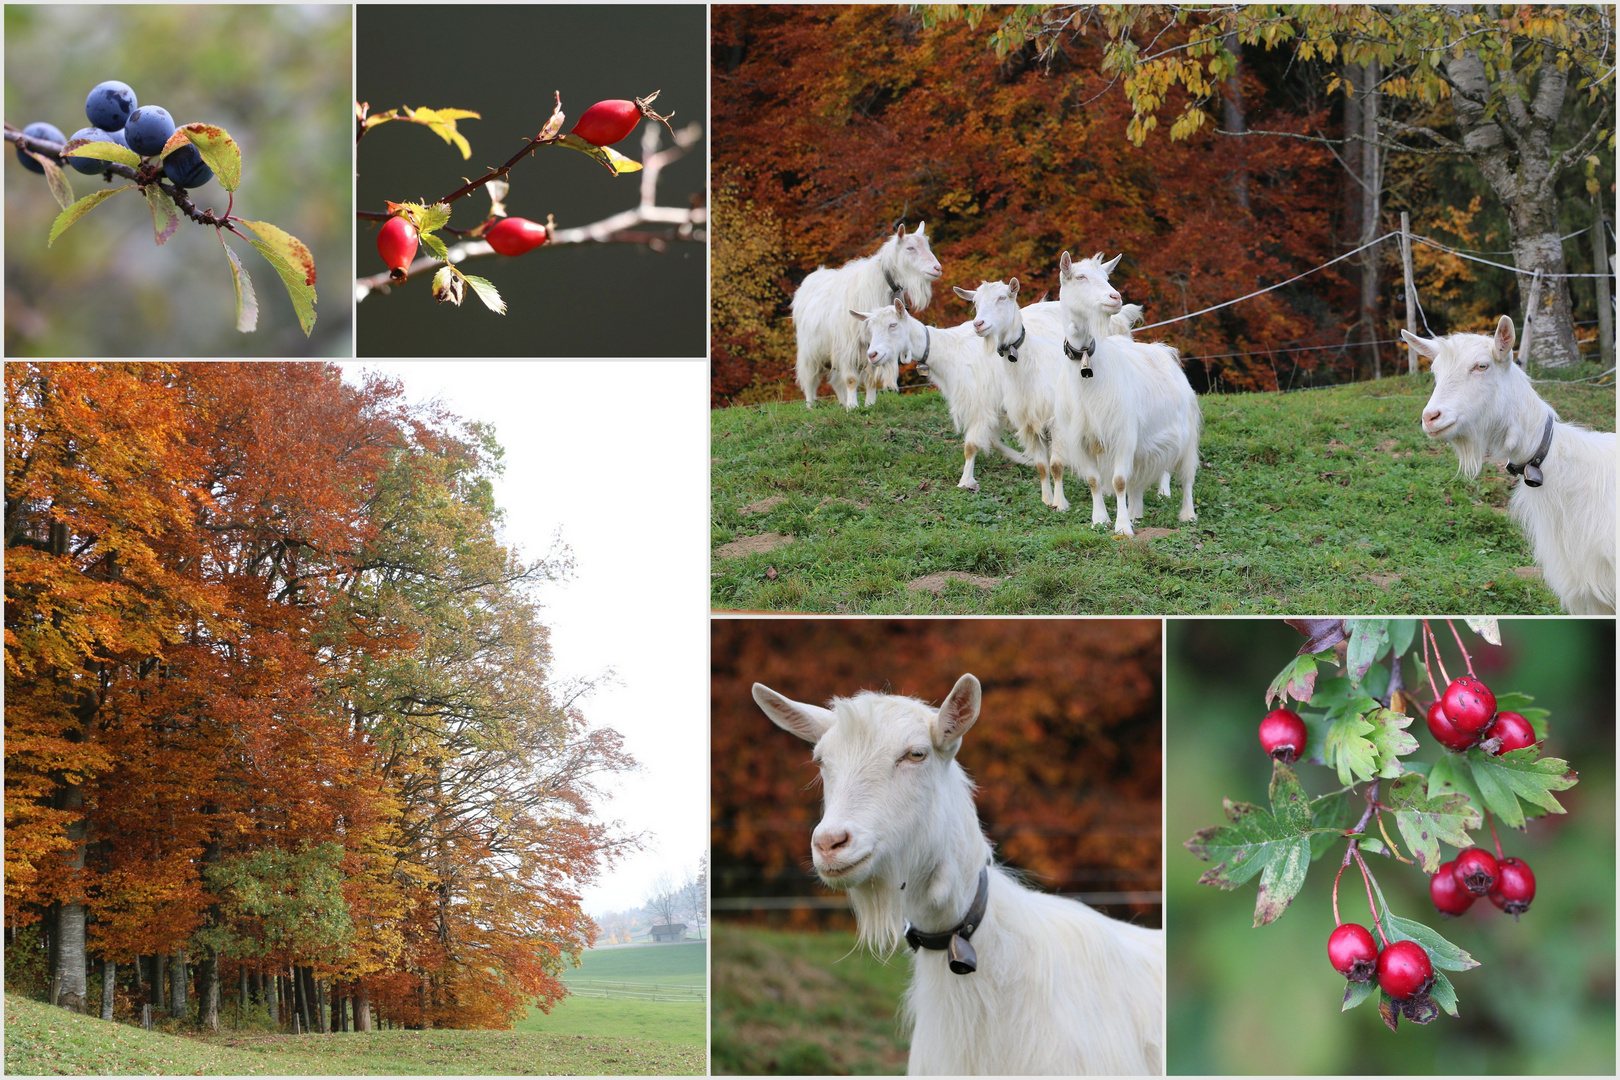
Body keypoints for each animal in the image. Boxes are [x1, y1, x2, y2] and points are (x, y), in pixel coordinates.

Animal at [790, 220, 946, 409]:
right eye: (910, 248)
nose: (937, 268)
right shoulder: (848, 345)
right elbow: (851, 379)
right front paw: (852, 407)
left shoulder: (873, 343)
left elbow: (871, 378)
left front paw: (869, 404)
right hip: (809, 350)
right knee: (810, 379)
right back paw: (811, 406)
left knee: (835, 381)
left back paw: (842, 402)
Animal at [1049, 254, 1205, 540]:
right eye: (1080, 277)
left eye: (1107, 277)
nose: (1115, 297)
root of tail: (1163, 351)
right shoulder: (1081, 438)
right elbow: (1095, 480)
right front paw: (1100, 520)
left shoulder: (1122, 434)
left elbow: (1119, 481)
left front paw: (1122, 528)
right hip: (1142, 444)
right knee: (1137, 479)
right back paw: (1136, 512)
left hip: (1185, 434)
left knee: (1187, 475)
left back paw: (1187, 515)